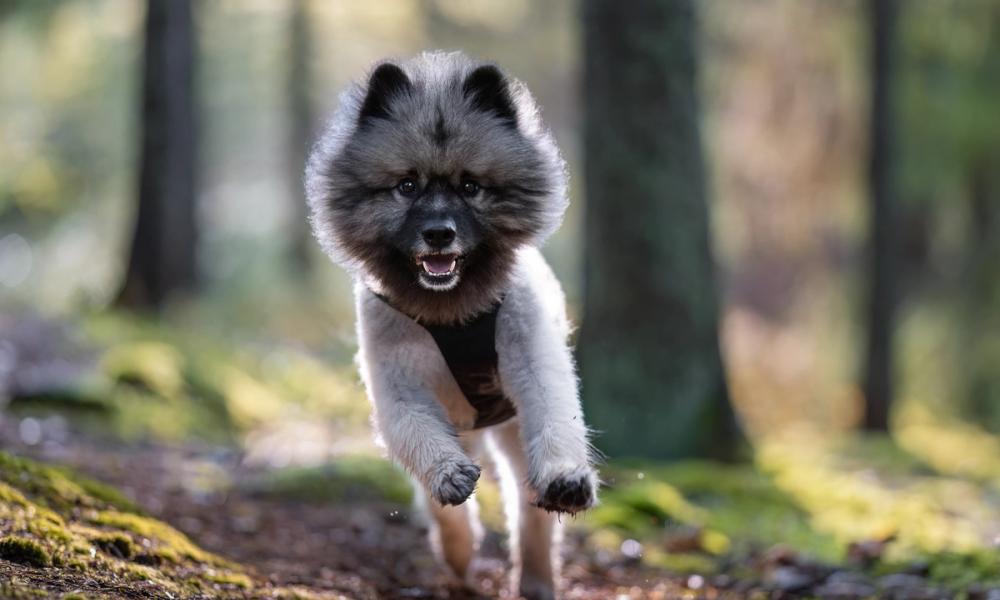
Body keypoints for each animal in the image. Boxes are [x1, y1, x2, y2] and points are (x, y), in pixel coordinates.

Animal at [304, 51, 596, 600]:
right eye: (407, 185)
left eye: (470, 186)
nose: (439, 233)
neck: (453, 310)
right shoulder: (401, 392)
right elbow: (424, 446)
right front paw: (450, 479)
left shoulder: (536, 367)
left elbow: (557, 420)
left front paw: (567, 478)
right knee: (440, 510)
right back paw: (459, 555)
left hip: (511, 432)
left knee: (529, 511)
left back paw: (536, 578)